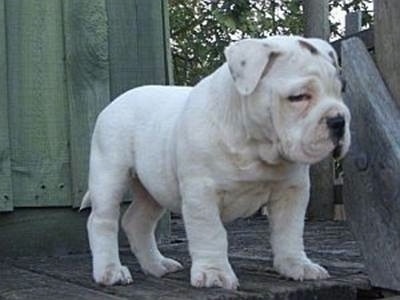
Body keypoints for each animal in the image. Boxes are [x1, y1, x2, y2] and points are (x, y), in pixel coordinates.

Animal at [82, 35, 350, 290]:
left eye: (340, 90)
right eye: (298, 97)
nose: (339, 120)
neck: (255, 146)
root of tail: (116, 101)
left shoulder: (292, 191)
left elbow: (290, 232)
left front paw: (297, 265)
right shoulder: (202, 193)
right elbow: (211, 233)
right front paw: (215, 273)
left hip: (154, 188)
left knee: (137, 222)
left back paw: (156, 265)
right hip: (109, 174)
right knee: (102, 221)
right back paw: (110, 270)